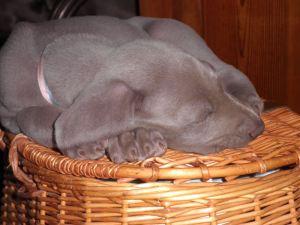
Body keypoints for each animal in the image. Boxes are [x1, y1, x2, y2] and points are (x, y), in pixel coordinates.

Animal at [0, 16, 262, 163]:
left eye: (219, 88)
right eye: (201, 117)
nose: (259, 128)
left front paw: (132, 137)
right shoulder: (7, 111)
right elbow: (28, 115)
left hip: (170, 30)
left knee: (227, 67)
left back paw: (250, 99)